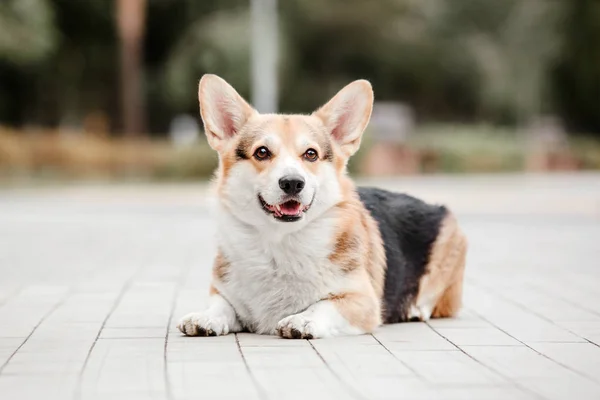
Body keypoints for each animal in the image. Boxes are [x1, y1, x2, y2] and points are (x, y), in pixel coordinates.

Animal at [176, 74, 466, 338]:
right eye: (262, 152)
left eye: (311, 154)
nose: (292, 183)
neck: (279, 244)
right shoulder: (223, 292)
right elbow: (221, 306)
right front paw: (205, 317)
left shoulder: (363, 301)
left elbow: (325, 304)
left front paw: (302, 319)